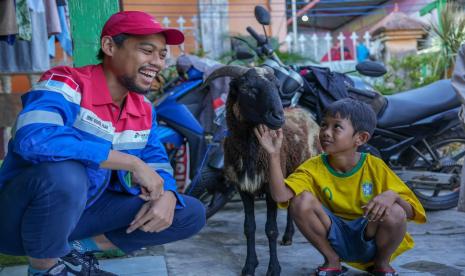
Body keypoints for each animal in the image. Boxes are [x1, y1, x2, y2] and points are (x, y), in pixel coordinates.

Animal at [205, 66, 320, 276]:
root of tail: (304, 113)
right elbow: (249, 227)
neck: (252, 152)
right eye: (248, 89)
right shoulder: (244, 188)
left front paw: (273, 269)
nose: (278, 117)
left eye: (276, 86)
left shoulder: (270, 186)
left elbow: (271, 229)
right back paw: (288, 237)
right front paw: (249, 266)